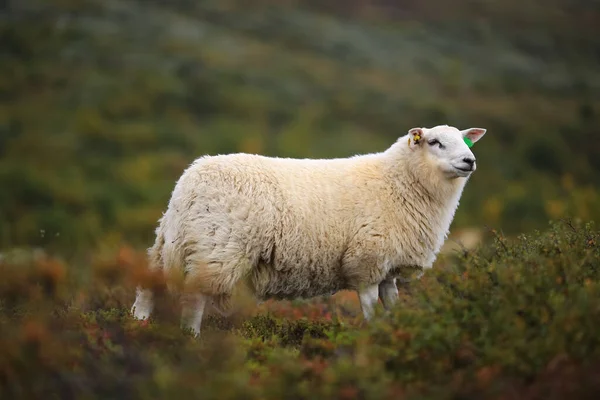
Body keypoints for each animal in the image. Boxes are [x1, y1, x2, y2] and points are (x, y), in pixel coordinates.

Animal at [129, 124, 486, 334]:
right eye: (435, 142)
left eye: (466, 141)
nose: (470, 161)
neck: (398, 181)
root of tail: (191, 178)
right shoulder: (367, 260)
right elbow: (371, 308)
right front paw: (374, 337)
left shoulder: (388, 267)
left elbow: (392, 303)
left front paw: (396, 331)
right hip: (215, 247)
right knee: (193, 300)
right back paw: (191, 340)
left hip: (171, 241)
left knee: (147, 287)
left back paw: (137, 326)